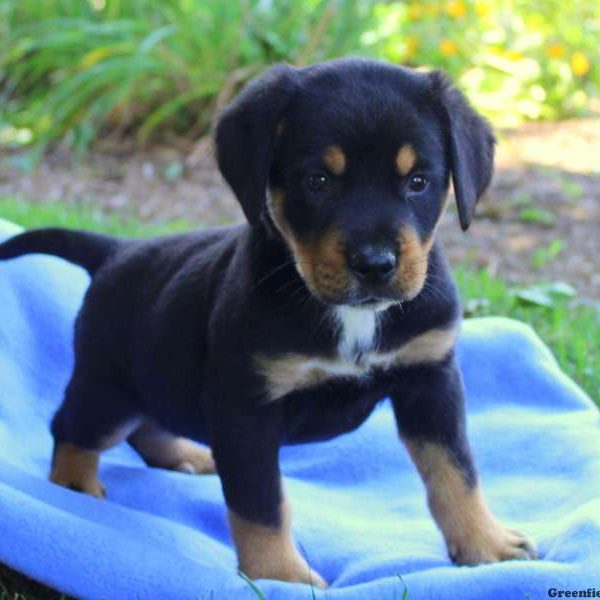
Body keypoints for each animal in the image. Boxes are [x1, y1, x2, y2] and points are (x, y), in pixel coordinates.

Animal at [0, 58, 536, 584]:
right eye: (318, 181)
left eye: (418, 181)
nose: (375, 264)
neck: (351, 317)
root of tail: (116, 250)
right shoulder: (247, 408)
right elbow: (260, 504)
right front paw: (280, 576)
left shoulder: (430, 378)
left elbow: (455, 470)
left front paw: (485, 544)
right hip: (107, 385)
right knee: (73, 427)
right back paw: (74, 486)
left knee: (147, 425)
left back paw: (185, 456)